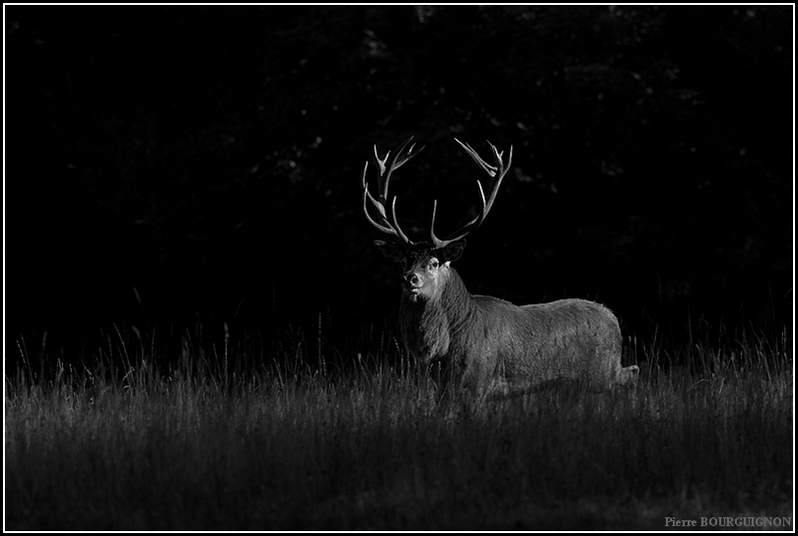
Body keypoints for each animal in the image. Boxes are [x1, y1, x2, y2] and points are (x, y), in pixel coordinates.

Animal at [364, 136, 644, 400]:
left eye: (434, 263)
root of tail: (614, 320)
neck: (447, 346)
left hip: (600, 372)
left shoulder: (477, 379)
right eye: (405, 260)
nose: (409, 278)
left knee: (632, 373)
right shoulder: (443, 386)